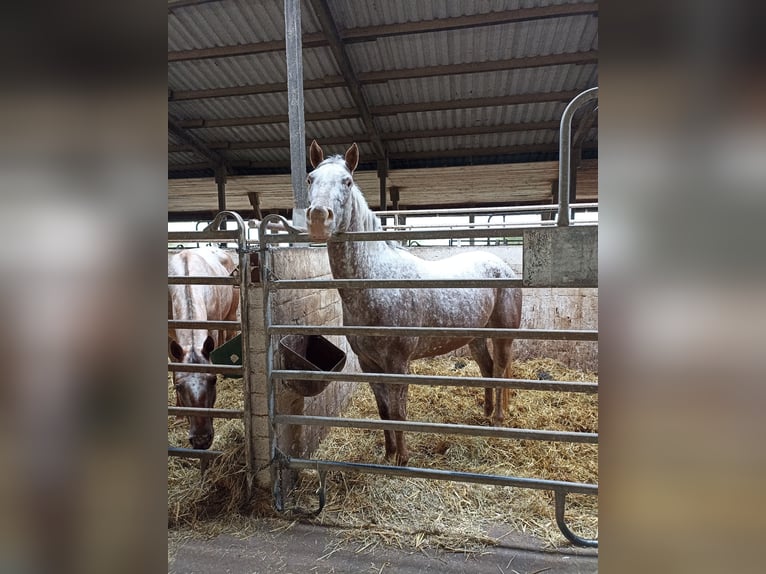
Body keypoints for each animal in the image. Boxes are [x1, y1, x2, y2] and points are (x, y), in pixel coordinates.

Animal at [169, 246, 238, 450]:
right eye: (178, 386)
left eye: (213, 381)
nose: (201, 440)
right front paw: (179, 413)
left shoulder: (212, 328)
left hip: (230, 315)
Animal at [306, 141, 520, 468]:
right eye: (310, 179)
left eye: (348, 181)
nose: (319, 217)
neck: (376, 282)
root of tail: (503, 266)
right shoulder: (369, 364)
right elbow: (384, 412)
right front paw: (388, 454)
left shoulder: (398, 363)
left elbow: (399, 412)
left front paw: (403, 459)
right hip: (475, 338)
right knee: (488, 368)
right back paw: (485, 414)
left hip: (503, 336)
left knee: (501, 368)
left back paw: (497, 419)